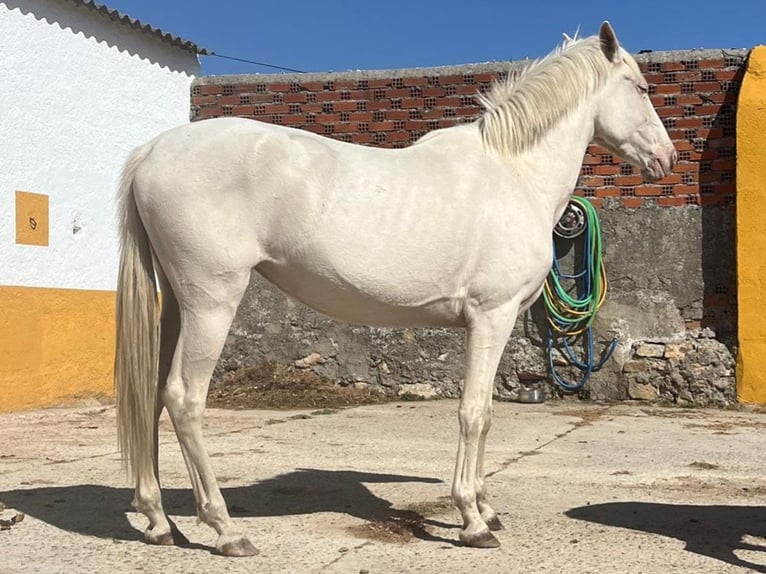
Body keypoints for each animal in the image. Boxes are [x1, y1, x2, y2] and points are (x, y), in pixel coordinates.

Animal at [114, 21, 676, 556]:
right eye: (641, 88)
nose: (667, 158)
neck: (513, 173)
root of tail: (152, 150)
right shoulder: (490, 317)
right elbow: (474, 413)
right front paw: (473, 521)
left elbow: (488, 414)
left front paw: (487, 510)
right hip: (212, 302)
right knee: (184, 398)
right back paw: (226, 531)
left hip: (178, 306)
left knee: (152, 394)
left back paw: (159, 520)